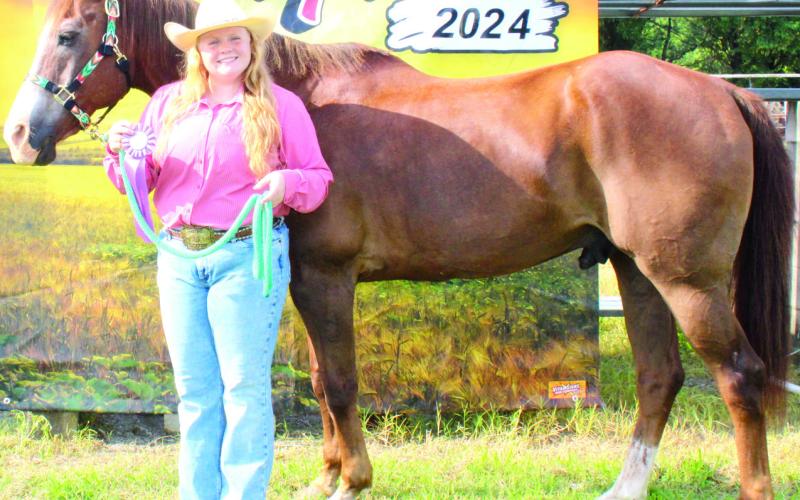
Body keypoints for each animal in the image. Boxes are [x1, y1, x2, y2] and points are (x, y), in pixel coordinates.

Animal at [4, 0, 793, 498]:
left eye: (70, 35)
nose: (20, 136)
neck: (300, 99)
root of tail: (722, 92)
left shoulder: (326, 277)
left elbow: (340, 383)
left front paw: (350, 483)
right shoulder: (305, 280)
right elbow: (320, 380)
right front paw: (324, 476)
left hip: (688, 279)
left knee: (740, 376)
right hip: (637, 270)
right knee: (662, 376)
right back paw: (623, 488)